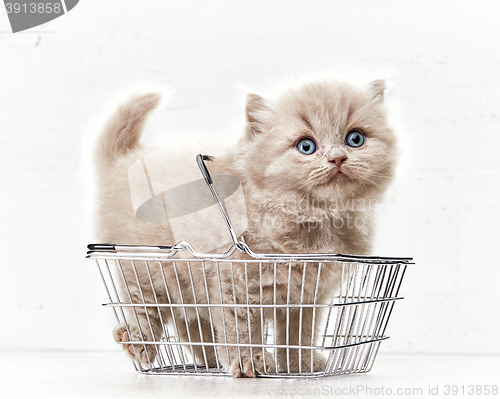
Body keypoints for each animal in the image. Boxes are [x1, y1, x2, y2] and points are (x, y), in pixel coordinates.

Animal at [89, 76, 398, 378]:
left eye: (355, 139)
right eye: (306, 146)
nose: (337, 158)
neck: (311, 215)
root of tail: (123, 163)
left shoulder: (307, 294)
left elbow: (299, 332)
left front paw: (300, 363)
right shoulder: (235, 280)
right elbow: (241, 327)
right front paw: (250, 362)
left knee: (190, 324)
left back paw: (211, 360)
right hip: (145, 268)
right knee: (143, 307)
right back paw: (136, 342)